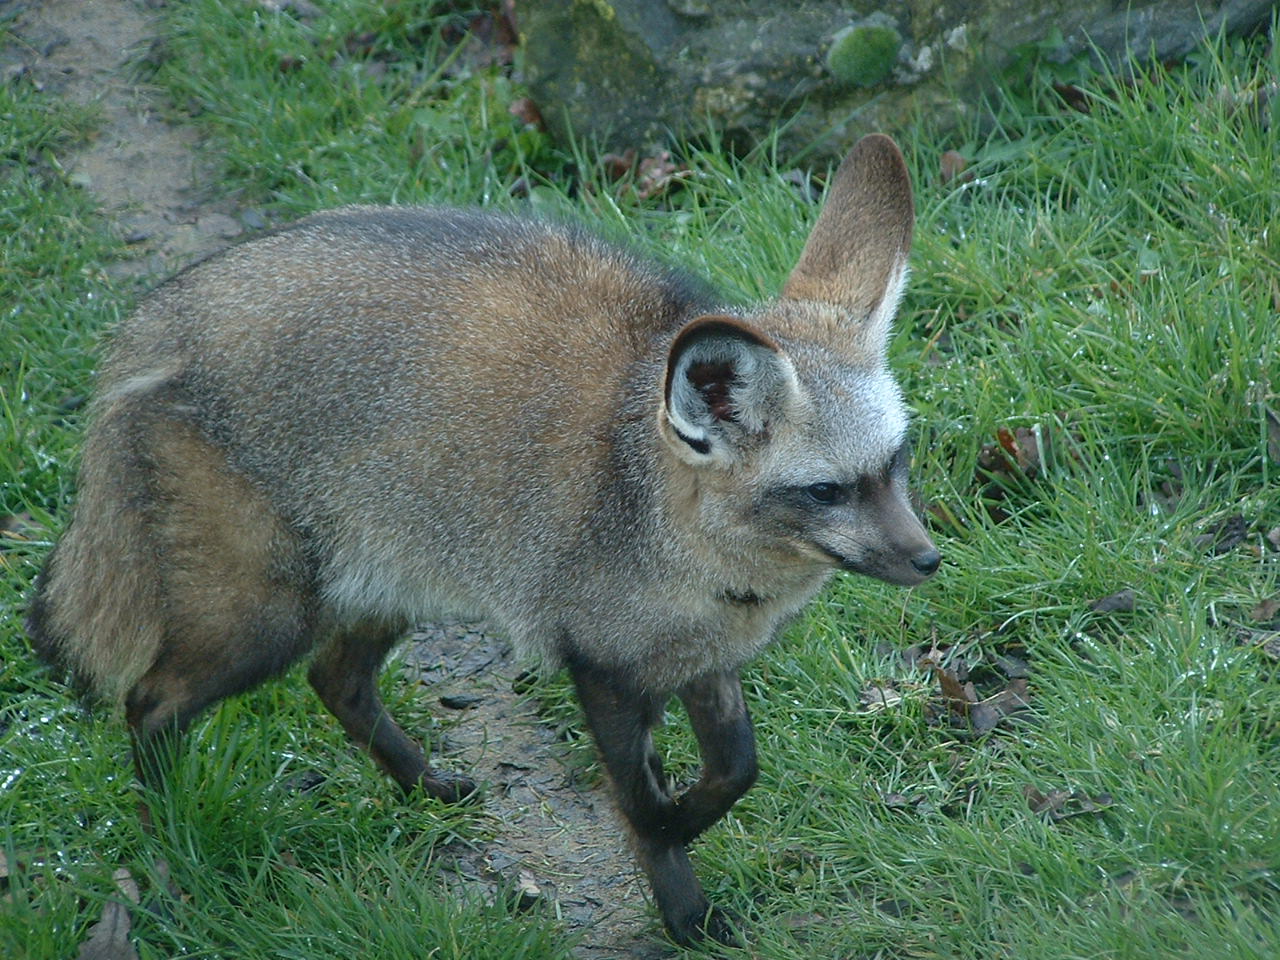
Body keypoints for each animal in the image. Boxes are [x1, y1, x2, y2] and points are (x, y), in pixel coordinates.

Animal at [27, 133, 938, 945]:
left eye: (897, 464)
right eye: (827, 492)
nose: (929, 561)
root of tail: (149, 321)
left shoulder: (697, 658)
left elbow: (735, 772)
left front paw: (688, 829)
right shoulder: (602, 665)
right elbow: (641, 804)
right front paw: (683, 905)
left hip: (386, 586)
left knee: (335, 681)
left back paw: (425, 786)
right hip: (261, 621)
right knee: (149, 704)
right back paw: (171, 849)